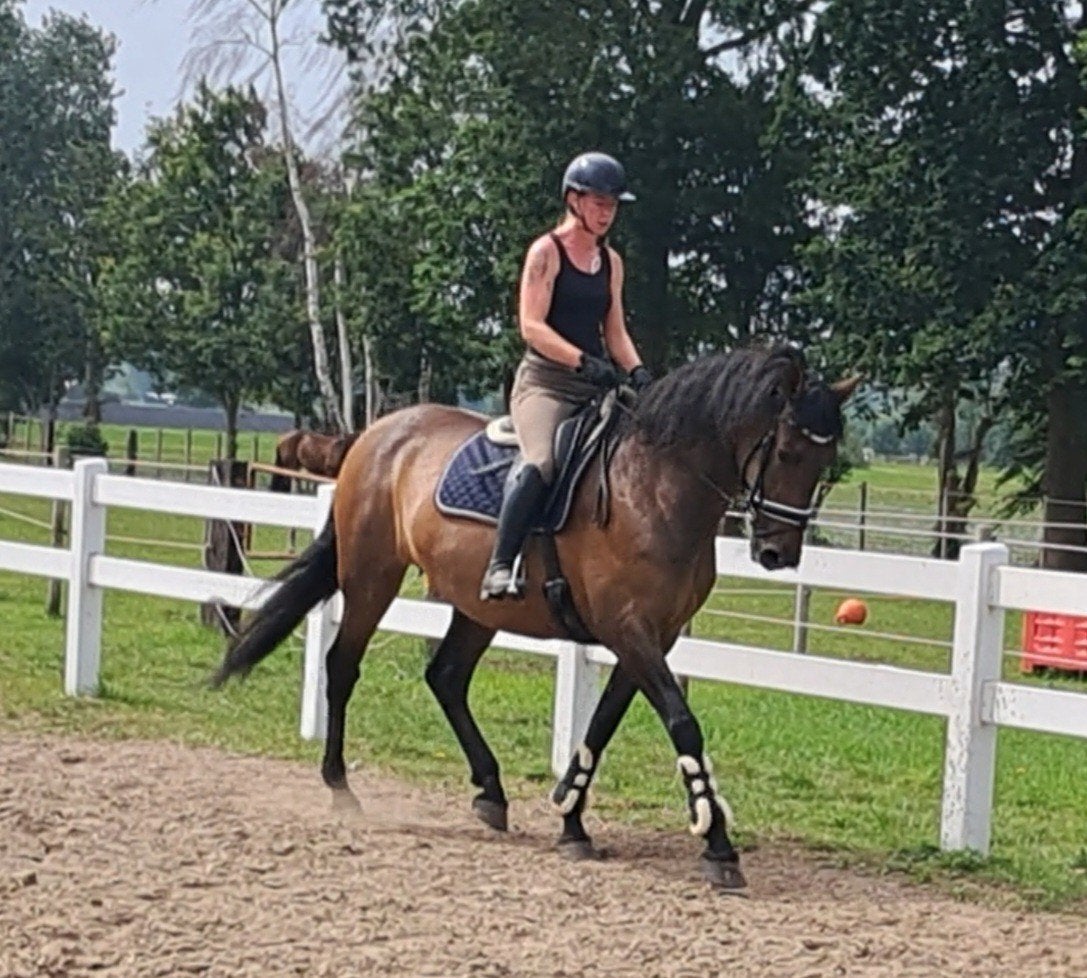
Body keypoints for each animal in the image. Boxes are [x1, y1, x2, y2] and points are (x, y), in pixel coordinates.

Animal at [213, 345, 857, 891]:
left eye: (825, 460)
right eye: (788, 451)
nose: (778, 554)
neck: (654, 487)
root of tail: (378, 434)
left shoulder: (654, 637)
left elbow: (600, 724)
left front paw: (571, 819)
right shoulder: (631, 631)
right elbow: (682, 722)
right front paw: (717, 842)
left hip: (475, 605)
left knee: (446, 677)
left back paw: (491, 793)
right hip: (372, 575)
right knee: (343, 665)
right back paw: (341, 788)